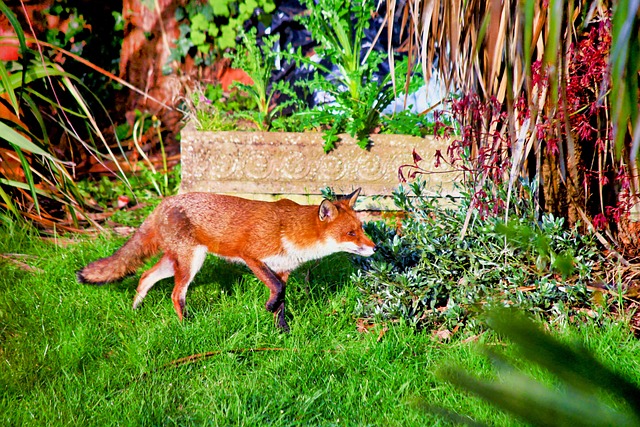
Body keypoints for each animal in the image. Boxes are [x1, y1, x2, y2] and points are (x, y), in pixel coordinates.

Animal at [76, 187, 376, 332]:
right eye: (351, 233)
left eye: (362, 228)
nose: (375, 248)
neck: (291, 232)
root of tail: (164, 202)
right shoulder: (252, 256)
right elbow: (277, 291)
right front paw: (270, 309)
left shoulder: (283, 269)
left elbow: (282, 298)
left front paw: (282, 330)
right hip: (191, 262)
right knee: (175, 294)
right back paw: (186, 326)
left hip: (177, 262)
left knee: (145, 276)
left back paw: (135, 309)